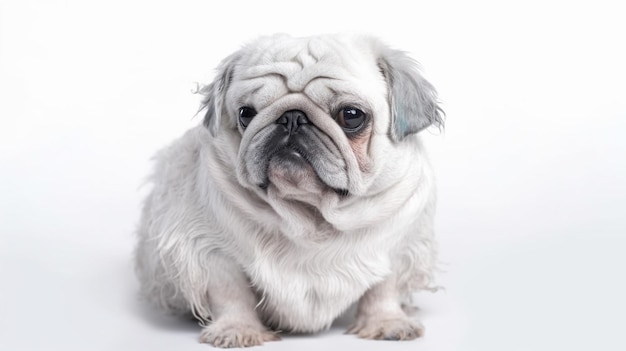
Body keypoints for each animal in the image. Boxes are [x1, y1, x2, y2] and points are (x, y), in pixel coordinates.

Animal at [134, 33, 442, 350]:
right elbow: (232, 294)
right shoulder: (214, 252)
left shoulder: (398, 247)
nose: (292, 117)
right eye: (246, 114)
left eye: (352, 116)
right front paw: (236, 329)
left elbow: (383, 289)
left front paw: (387, 323)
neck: (312, 215)